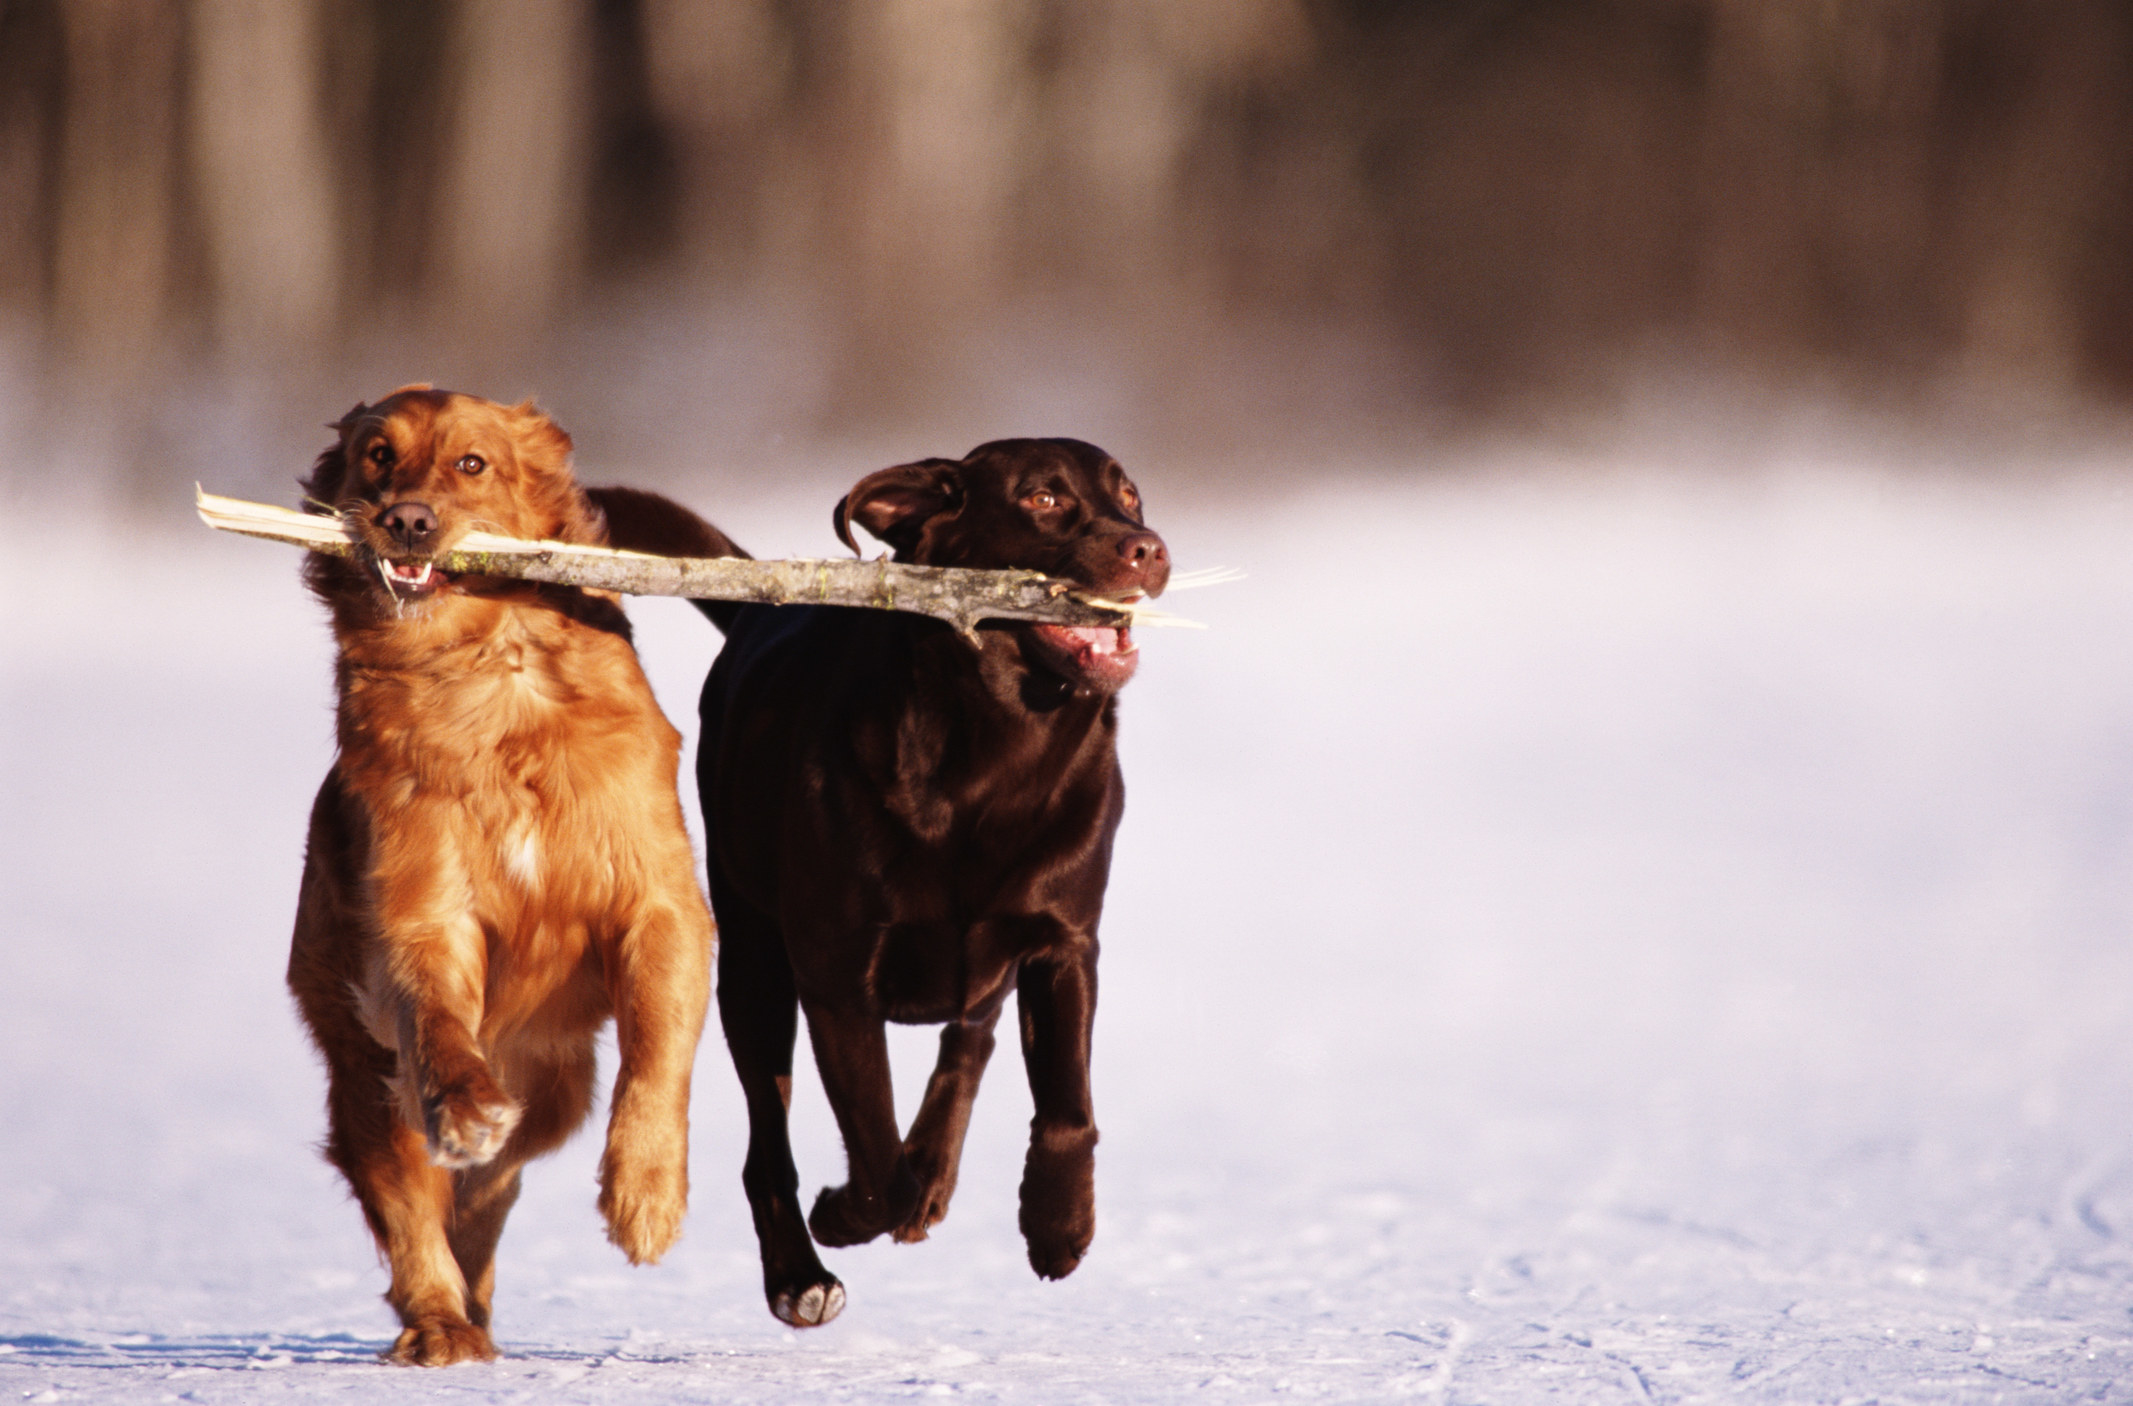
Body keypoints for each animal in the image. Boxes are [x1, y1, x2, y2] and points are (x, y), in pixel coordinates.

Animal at [287, 388, 733, 1365]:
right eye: (377, 454)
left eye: (472, 463)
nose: (407, 520)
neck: (485, 676)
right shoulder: (420, 912)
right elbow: (439, 1025)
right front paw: (463, 1105)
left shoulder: (661, 901)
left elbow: (659, 1054)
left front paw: (645, 1198)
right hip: (362, 1072)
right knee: (414, 1202)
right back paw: (441, 1325)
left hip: (551, 1098)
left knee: (483, 1205)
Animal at [695, 435, 1168, 1322]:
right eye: (1043, 499)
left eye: (1130, 496)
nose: (1148, 549)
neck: (995, 760)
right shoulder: (836, 974)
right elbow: (875, 1153)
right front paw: (845, 1214)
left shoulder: (1062, 941)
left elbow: (1066, 1105)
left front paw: (1058, 1223)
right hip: (750, 960)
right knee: (767, 1141)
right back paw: (801, 1277)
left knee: (969, 1039)